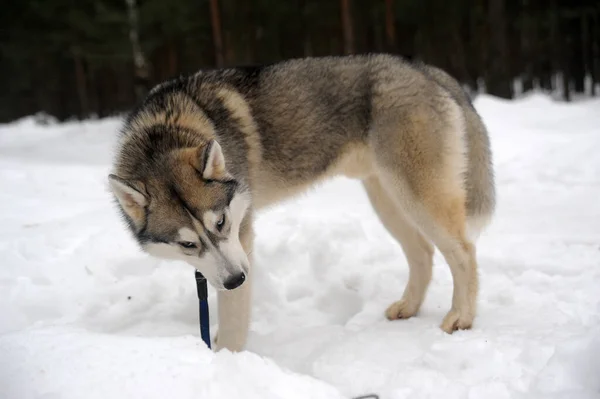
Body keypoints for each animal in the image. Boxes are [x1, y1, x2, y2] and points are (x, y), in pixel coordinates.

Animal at [106, 54, 492, 354]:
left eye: (221, 223)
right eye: (187, 244)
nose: (236, 279)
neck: (163, 132)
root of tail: (423, 68)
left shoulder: (242, 237)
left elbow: (233, 322)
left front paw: (226, 363)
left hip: (416, 196)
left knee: (464, 251)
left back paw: (461, 317)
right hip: (386, 197)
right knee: (422, 252)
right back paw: (409, 307)